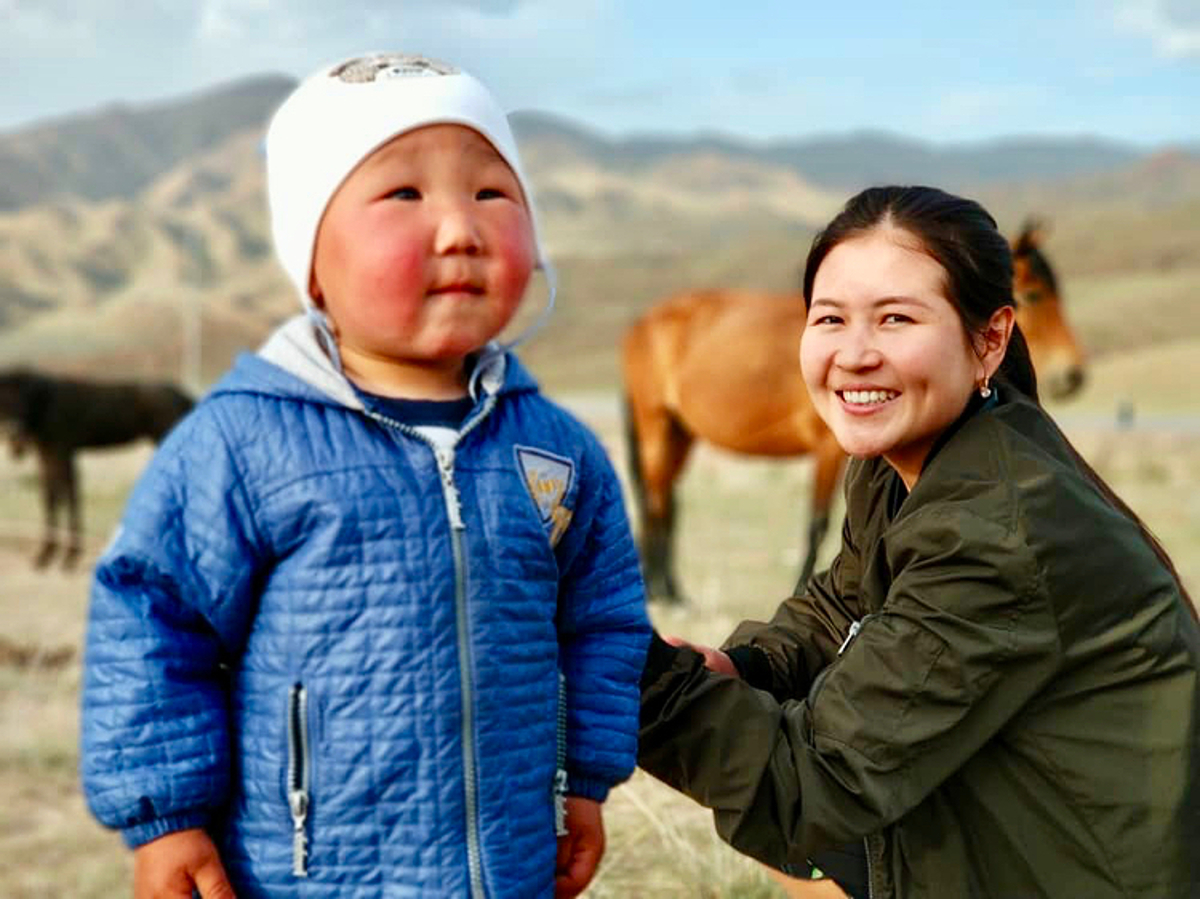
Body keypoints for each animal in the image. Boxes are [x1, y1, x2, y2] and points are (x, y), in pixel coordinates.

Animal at [0, 367, 192, 564]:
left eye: (24, 398)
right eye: (2, 401)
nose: (14, 434)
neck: (45, 403)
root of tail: (183, 396)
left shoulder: (63, 452)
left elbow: (69, 495)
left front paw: (70, 556)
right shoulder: (47, 456)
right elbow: (51, 497)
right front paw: (46, 554)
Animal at [619, 219, 1089, 600]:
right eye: (1035, 294)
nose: (1073, 375)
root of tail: (643, 323)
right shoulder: (828, 449)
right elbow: (817, 524)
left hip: (680, 432)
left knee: (667, 501)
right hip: (657, 425)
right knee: (657, 501)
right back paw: (664, 594)